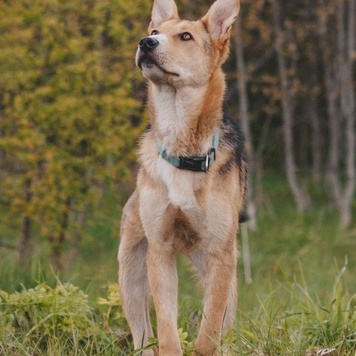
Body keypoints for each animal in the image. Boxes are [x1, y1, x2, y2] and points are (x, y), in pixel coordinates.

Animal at [118, 0, 246, 354]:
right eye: (154, 31)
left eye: (185, 36)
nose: (145, 43)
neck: (183, 150)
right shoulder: (160, 250)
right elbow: (166, 321)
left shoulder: (220, 254)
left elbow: (210, 324)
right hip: (130, 273)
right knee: (143, 332)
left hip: (228, 279)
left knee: (222, 318)